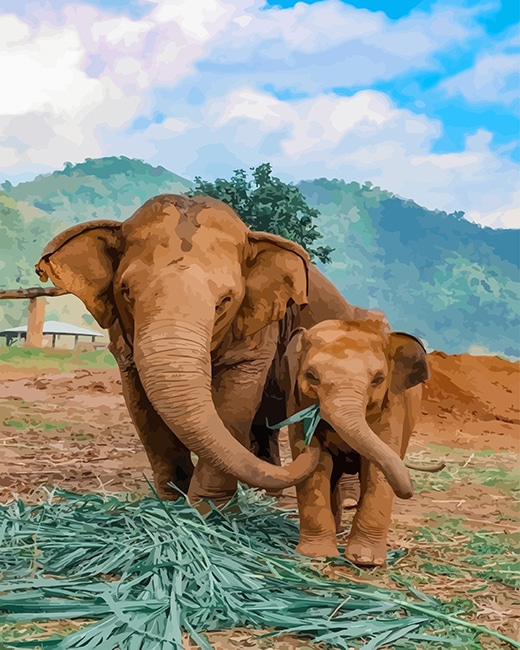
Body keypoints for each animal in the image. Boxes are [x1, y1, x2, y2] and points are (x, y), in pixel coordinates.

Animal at [35, 194, 413, 506]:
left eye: (225, 301)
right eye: (126, 291)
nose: (310, 449)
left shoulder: (259, 328)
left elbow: (235, 401)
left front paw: (207, 511)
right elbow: (141, 405)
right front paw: (171, 505)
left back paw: (341, 500)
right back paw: (268, 496)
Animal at [265, 318, 430, 566]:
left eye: (378, 379)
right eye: (311, 376)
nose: (409, 491)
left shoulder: (392, 407)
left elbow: (377, 471)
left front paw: (366, 560)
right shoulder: (296, 403)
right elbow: (316, 467)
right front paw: (317, 555)